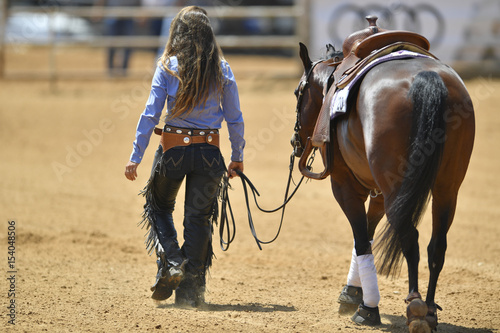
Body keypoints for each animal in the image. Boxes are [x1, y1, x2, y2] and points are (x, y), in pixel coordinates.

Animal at [292, 39, 476, 330]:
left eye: (297, 92)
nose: (295, 141)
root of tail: (428, 77)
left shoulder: (345, 186)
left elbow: (361, 240)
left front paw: (366, 306)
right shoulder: (379, 192)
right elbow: (367, 233)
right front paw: (353, 292)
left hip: (396, 192)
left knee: (410, 239)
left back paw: (414, 307)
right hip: (447, 189)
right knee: (437, 245)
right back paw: (429, 311)